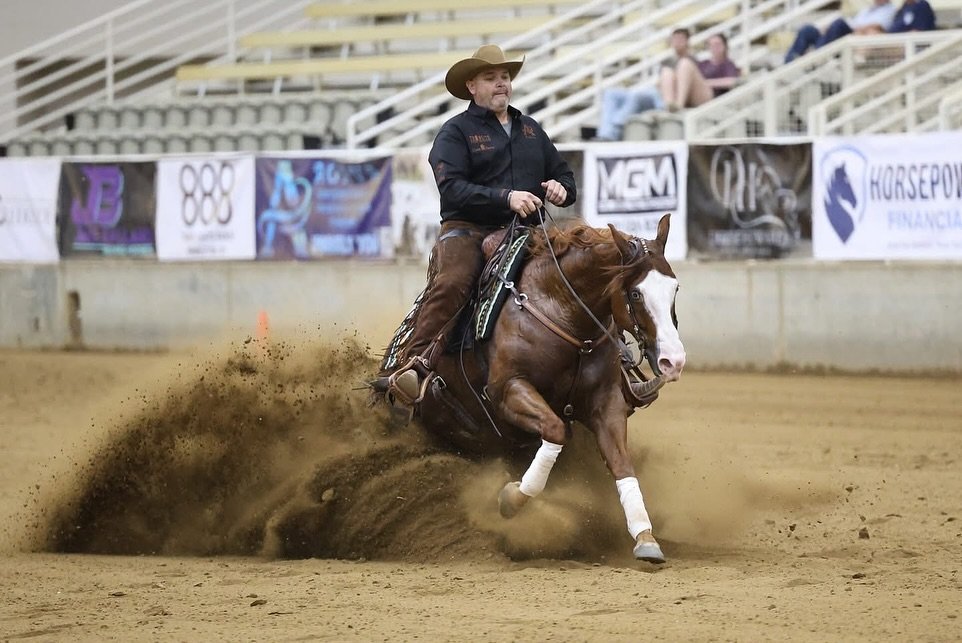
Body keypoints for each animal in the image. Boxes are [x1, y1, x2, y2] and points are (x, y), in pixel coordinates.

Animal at [374, 213, 686, 562]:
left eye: (674, 288)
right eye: (635, 294)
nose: (674, 360)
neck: (559, 309)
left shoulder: (606, 403)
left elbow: (620, 461)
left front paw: (645, 537)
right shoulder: (508, 390)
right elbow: (556, 430)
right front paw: (511, 499)